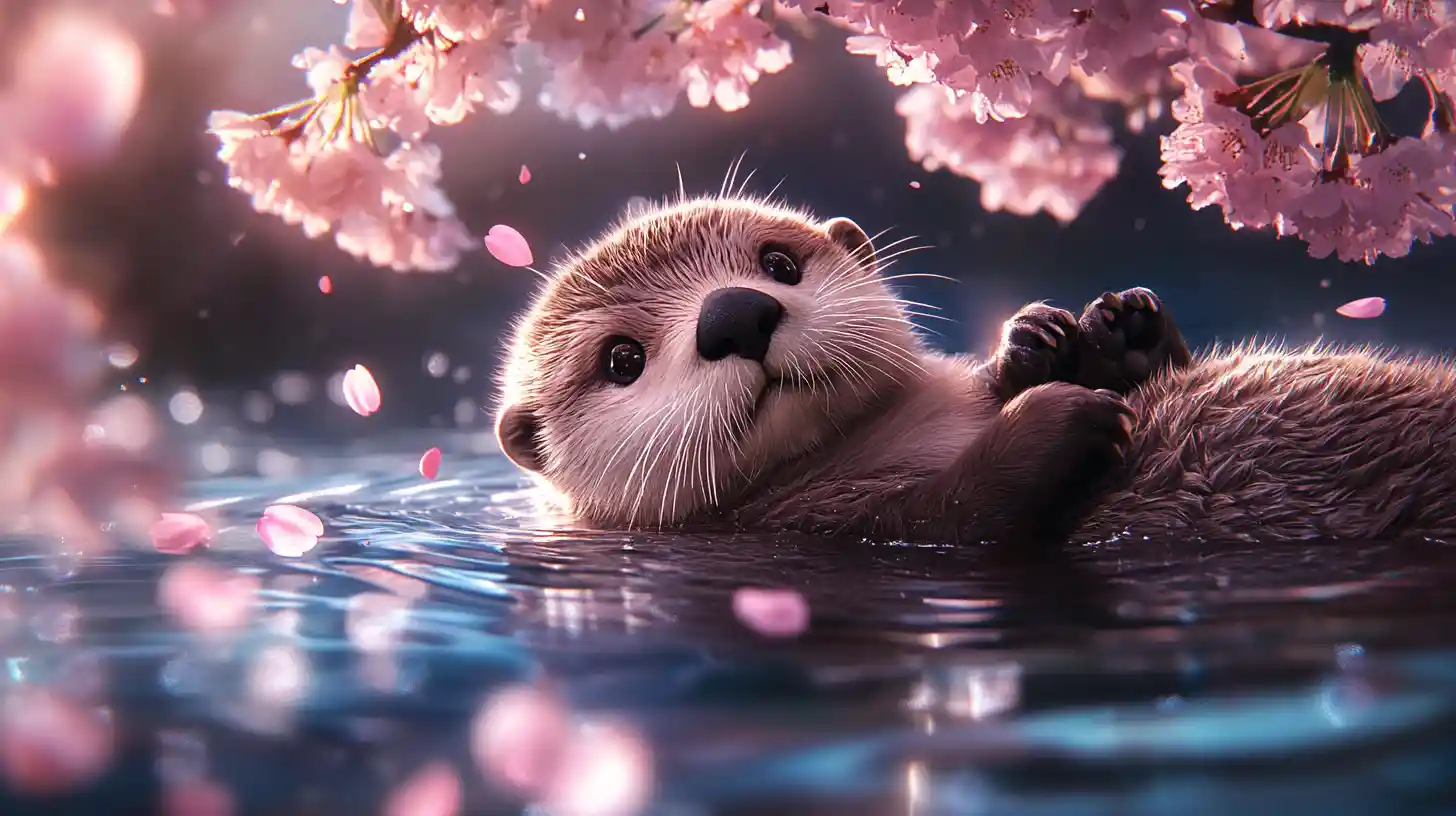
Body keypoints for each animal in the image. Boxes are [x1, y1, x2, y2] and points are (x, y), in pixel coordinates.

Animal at [494, 194, 1456, 544]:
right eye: (621, 359)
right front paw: (1058, 415)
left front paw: (1082, 336)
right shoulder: (814, 526)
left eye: (778, 263)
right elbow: (960, 510)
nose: (736, 314)